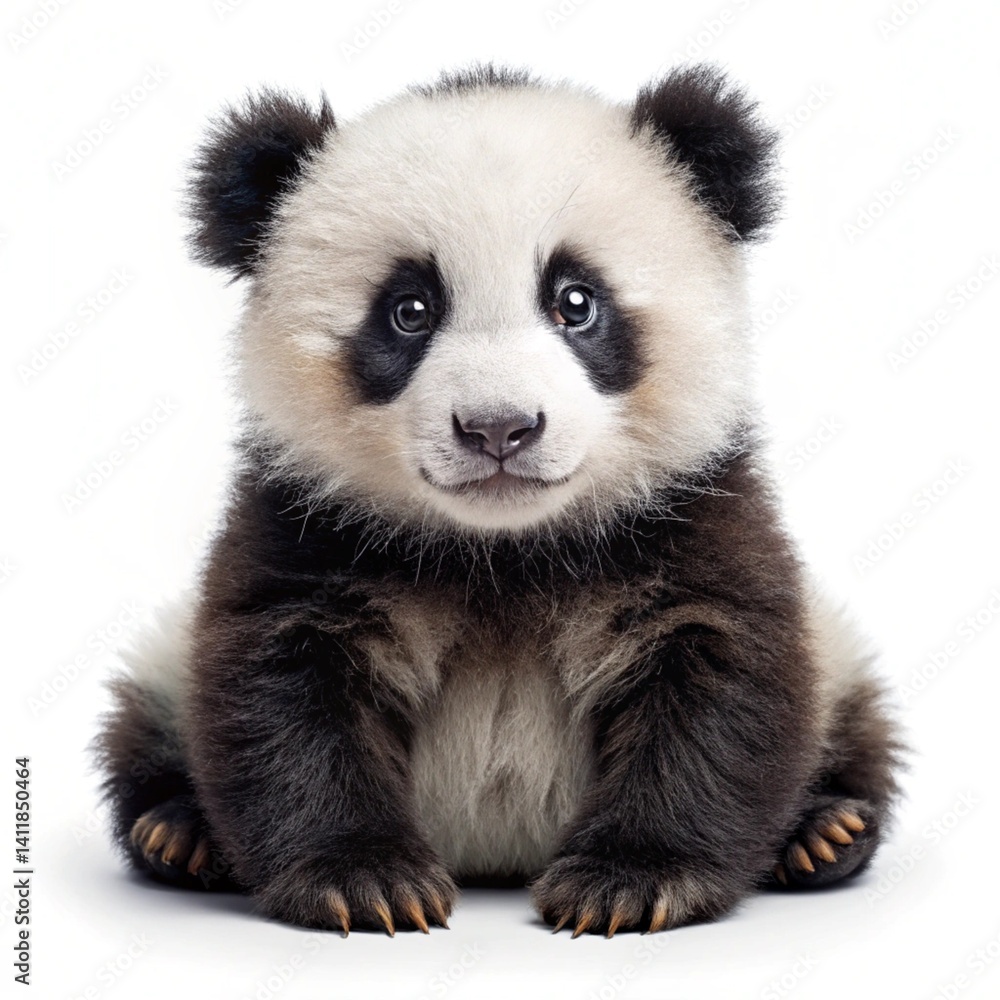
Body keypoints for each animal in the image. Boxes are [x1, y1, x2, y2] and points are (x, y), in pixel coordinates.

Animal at [95, 64, 903, 937]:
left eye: (576, 301)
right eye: (409, 310)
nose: (498, 428)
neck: (503, 552)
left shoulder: (695, 513)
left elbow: (721, 679)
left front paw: (632, 880)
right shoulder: (304, 526)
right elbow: (281, 689)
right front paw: (364, 879)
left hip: (840, 662)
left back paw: (825, 831)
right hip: (163, 666)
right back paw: (180, 833)